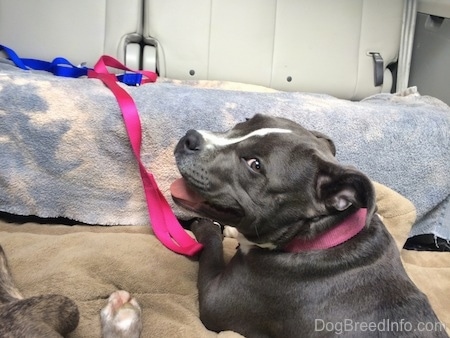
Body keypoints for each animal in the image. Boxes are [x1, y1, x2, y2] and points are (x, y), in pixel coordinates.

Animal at [171, 114, 446, 338]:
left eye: (255, 165)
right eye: (245, 121)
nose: (190, 137)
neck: (318, 237)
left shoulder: (214, 300)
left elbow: (212, 248)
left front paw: (206, 228)